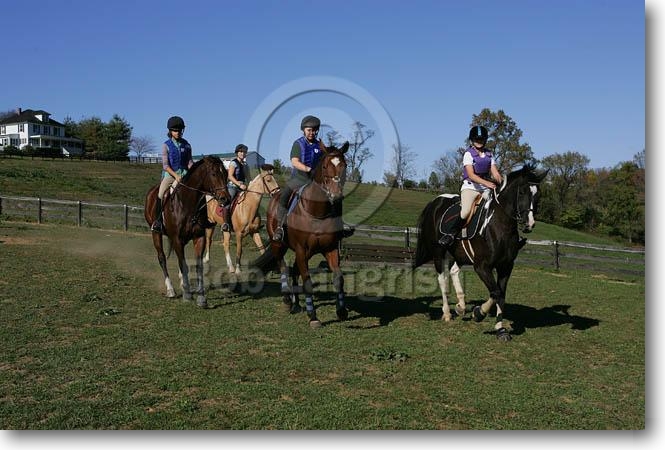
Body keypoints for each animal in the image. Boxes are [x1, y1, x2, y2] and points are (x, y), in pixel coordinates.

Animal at [144, 156, 230, 308]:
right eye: (214, 174)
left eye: (226, 174)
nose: (225, 199)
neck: (188, 204)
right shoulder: (177, 238)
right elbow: (183, 264)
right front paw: (187, 294)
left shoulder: (199, 237)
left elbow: (198, 266)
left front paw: (201, 297)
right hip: (156, 233)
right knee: (162, 258)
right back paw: (171, 289)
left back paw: (183, 283)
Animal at [252, 142, 350, 328]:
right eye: (325, 166)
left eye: (344, 165)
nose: (336, 196)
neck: (317, 213)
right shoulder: (300, 249)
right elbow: (307, 281)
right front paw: (313, 317)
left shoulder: (330, 249)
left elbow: (338, 278)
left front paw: (341, 310)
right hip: (279, 245)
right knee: (284, 267)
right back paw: (287, 300)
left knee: (294, 271)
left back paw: (296, 303)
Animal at [413, 165, 548, 341]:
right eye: (522, 192)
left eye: (538, 195)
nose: (529, 224)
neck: (500, 225)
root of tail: (436, 201)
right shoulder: (482, 267)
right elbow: (495, 292)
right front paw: (479, 313)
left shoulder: (506, 266)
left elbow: (500, 294)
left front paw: (500, 329)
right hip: (439, 252)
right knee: (442, 279)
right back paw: (447, 313)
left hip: (459, 254)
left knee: (454, 271)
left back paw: (461, 307)